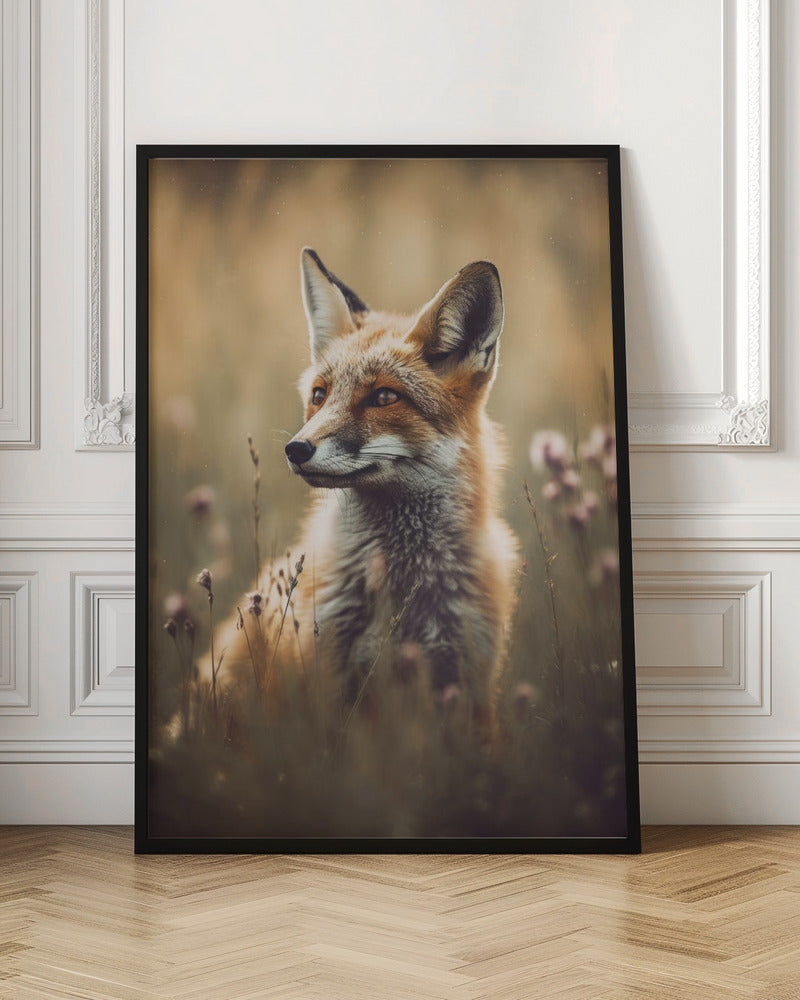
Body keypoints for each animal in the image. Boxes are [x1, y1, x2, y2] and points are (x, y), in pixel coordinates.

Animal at [204, 248, 519, 719]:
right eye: (319, 395)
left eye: (384, 397)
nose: (295, 449)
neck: (402, 592)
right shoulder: (326, 679)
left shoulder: (468, 683)